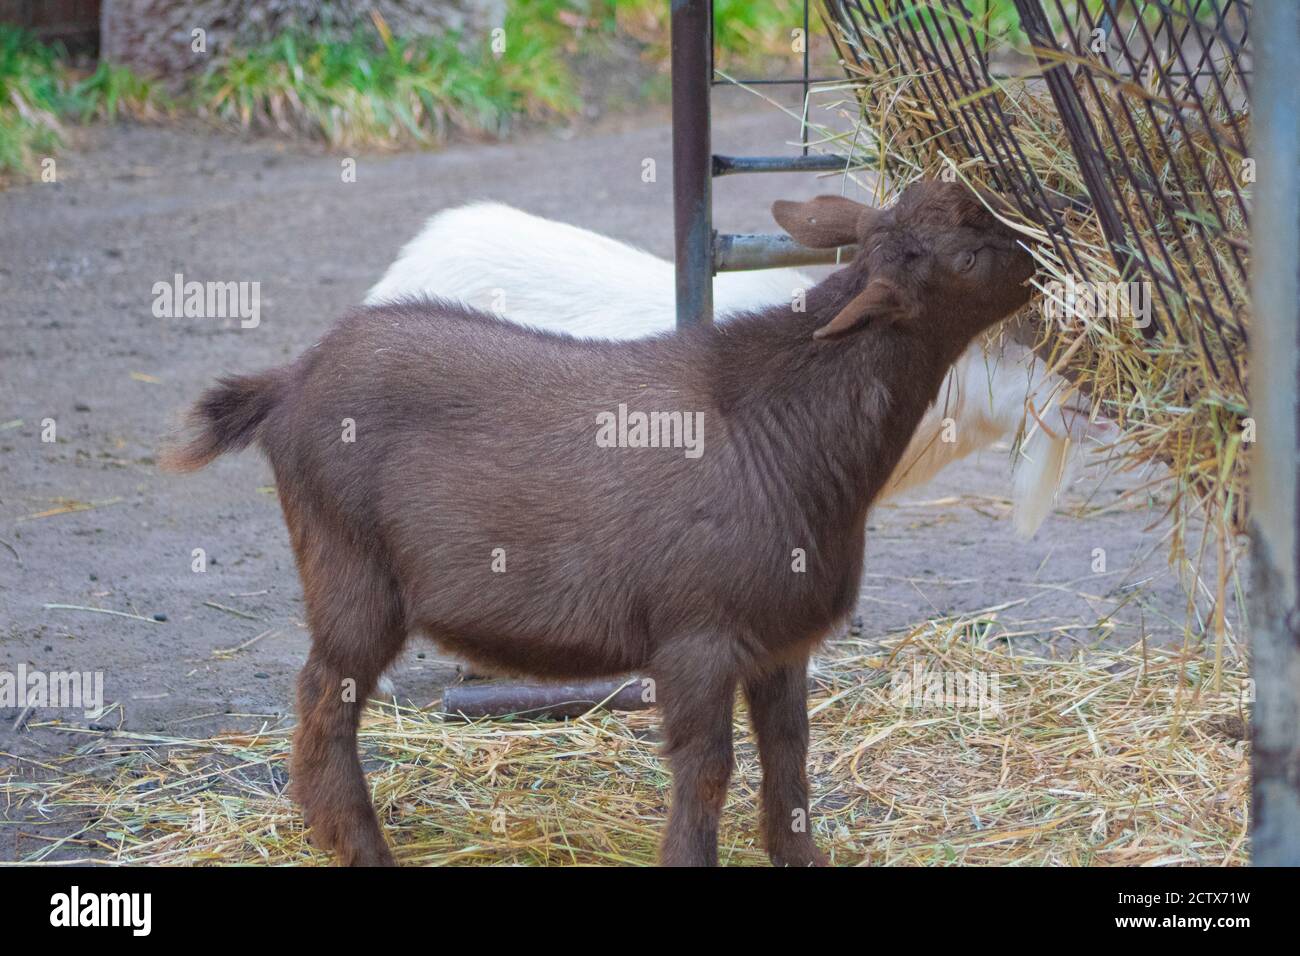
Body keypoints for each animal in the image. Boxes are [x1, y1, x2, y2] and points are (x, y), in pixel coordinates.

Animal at [165, 181, 1038, 867]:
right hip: (350, 569)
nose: (1036, 255)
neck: (783, 426)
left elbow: (790, 760)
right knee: (324, 699)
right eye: (965, 257)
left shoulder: (781, 640)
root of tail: (289, 382)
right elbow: (706, 770)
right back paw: (359, 847)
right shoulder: (696, 638)